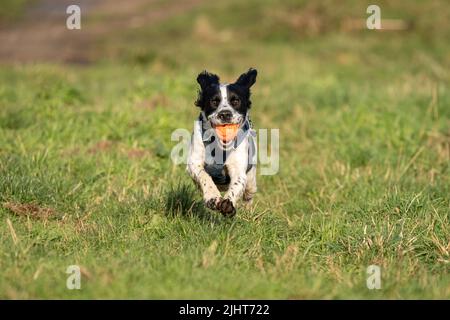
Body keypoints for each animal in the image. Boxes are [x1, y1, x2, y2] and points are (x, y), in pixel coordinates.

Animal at [186, 68, 256, 216]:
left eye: (235, 101)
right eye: (214, 101)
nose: (225, 114)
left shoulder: (238, 168)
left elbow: (237, 183)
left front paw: (227, 204)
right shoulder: (194, 162)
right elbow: (204, 176)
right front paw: (213, 198)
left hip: (251, 180)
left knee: (249, 195)